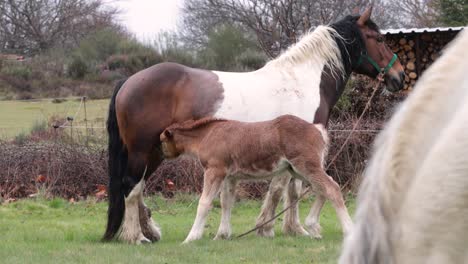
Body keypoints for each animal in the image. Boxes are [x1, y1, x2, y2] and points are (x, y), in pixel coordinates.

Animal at [160, 114, 352, 242]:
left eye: (162, 140)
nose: (162, 156)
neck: (208, 135)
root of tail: (317, 129)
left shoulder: (215, 171)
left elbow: (204, 203)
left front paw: (191, 238)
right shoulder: (230, 177)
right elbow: (226, 203)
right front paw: (222, 235)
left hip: (306, 166)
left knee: (331, 188)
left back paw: (347, 230)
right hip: (297, 170)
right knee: (323, 188)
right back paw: (313, 227)